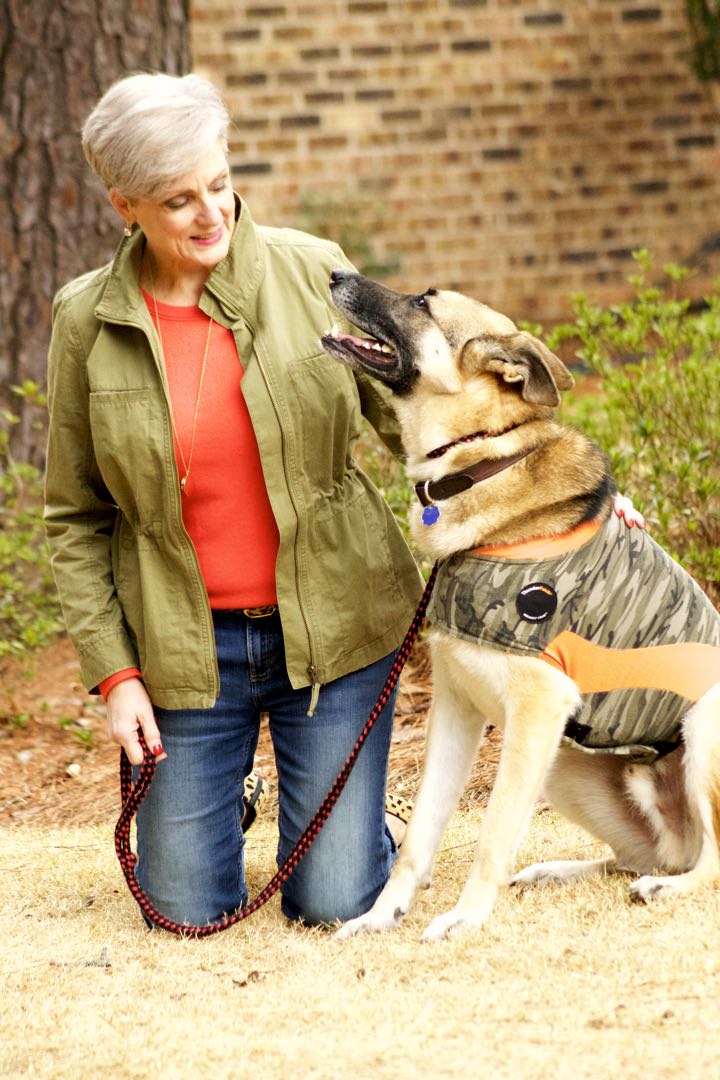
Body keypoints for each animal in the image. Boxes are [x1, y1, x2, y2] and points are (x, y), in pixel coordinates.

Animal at [321, 267, 720, 937]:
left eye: (423, 302)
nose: (335, 273)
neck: (484, 460)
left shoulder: (535, 708)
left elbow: (493, 832)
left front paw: (464, 919)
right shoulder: (455, 709)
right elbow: (418, 837)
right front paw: (382, 916)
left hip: (698, 728)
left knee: (708, 864)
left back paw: (664, 888)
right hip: (563, 762)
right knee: (642, 854)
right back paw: (558, 872)